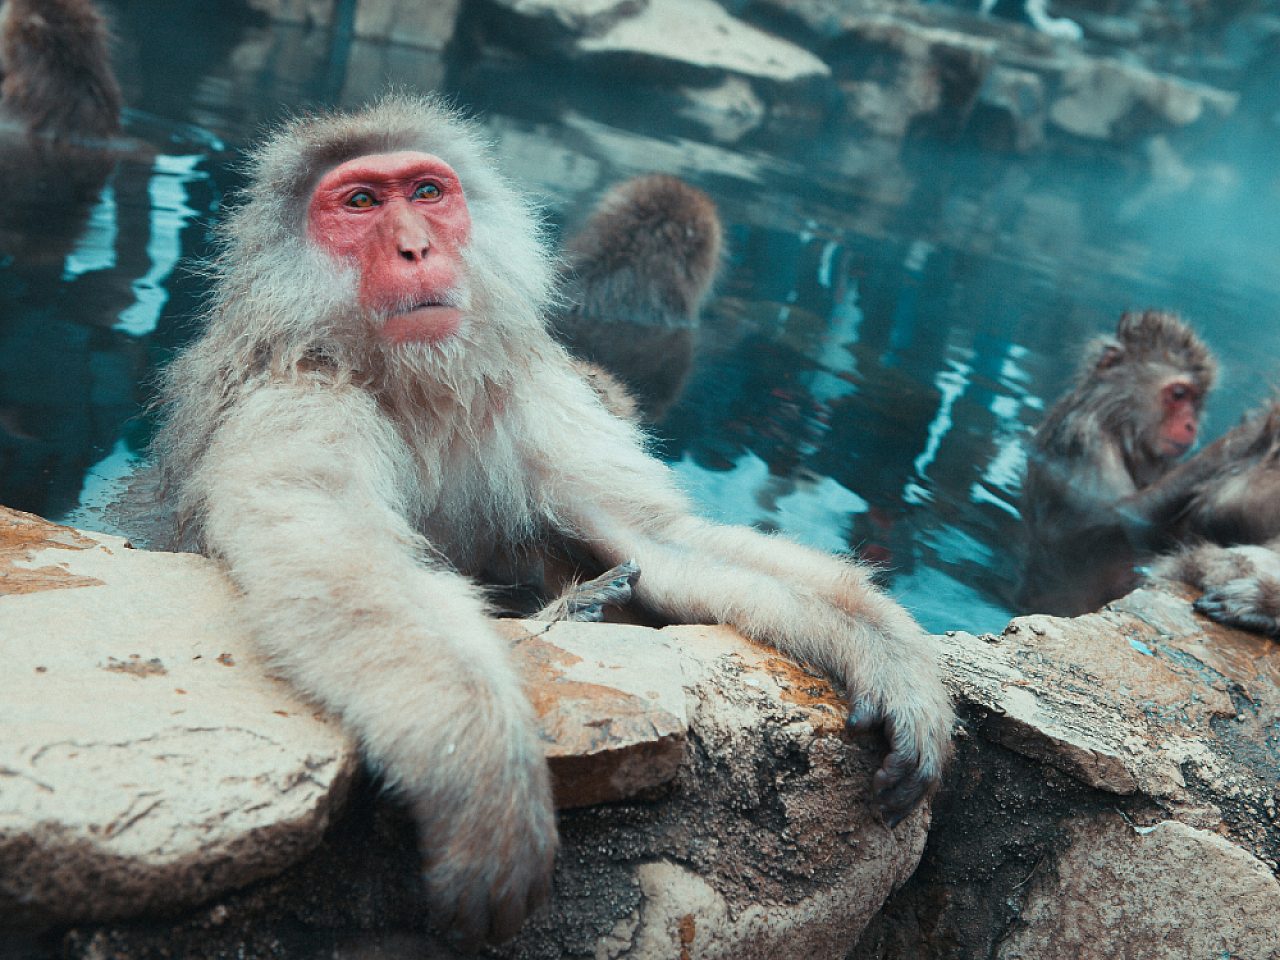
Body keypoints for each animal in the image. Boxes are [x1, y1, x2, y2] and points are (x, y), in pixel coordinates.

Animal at [1019, 310, 1218, 617]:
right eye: (1179, 394)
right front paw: (1238, 444)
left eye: (1197, 401)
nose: (1191, 425)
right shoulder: (1087, 440)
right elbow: (1115, 516)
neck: (1118, 421)